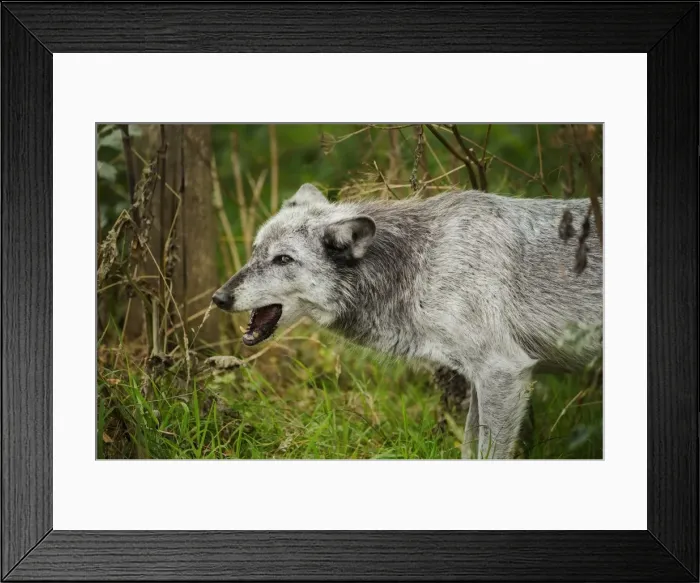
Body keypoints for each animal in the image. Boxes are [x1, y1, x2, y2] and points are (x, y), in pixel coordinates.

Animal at [212, 184, 603, 459]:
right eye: (255, 252)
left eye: (283, 259)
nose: (218, 298)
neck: (421, 263)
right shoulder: (483, 378)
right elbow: (468, 452)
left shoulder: (503, 371)